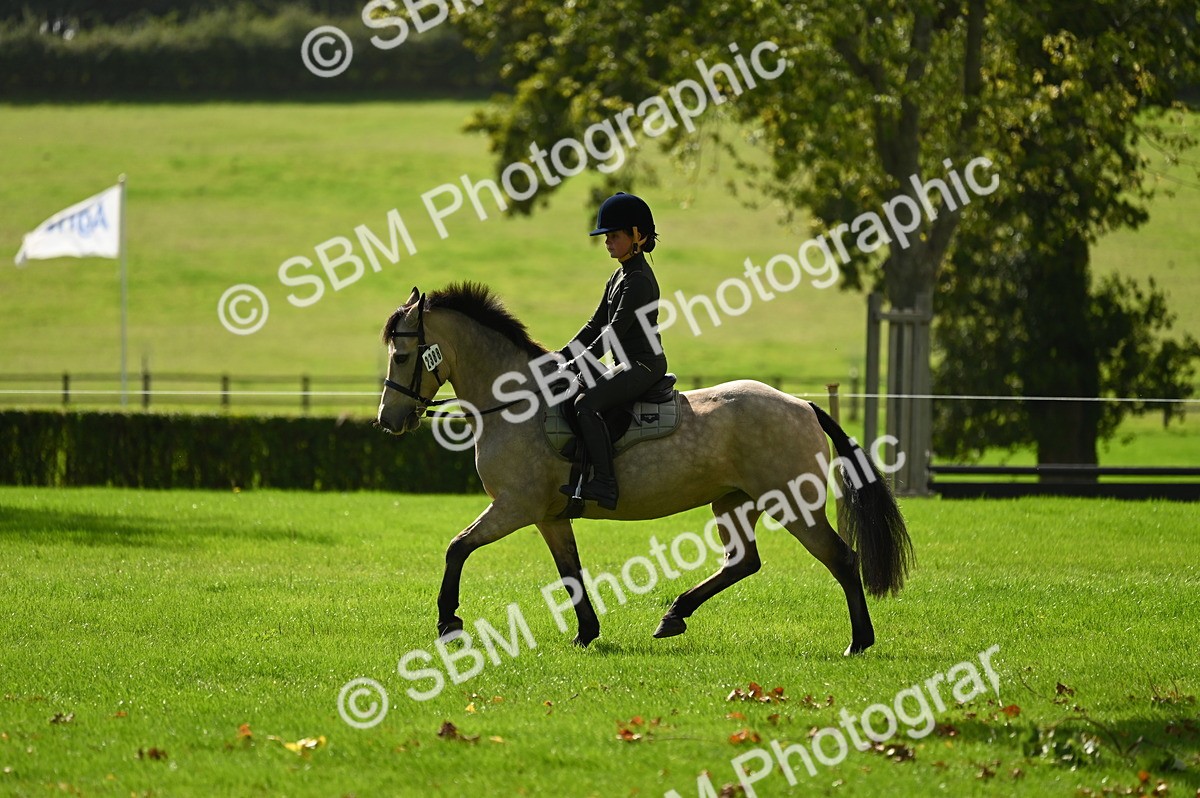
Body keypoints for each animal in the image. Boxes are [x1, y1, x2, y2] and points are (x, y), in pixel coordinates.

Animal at [375, 282, 912, 655]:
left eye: (402, 355)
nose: (387, 421)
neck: (515, 403)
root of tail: (802, 405)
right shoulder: (549, 516)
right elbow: (570, 572)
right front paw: (586, 633)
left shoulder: (514, 507)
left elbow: (457, 548)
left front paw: (448, 623)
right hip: (733, 502)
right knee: (743, 562)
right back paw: (674, 616)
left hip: (793, 505)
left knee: (841, 559)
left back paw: (859, 641)